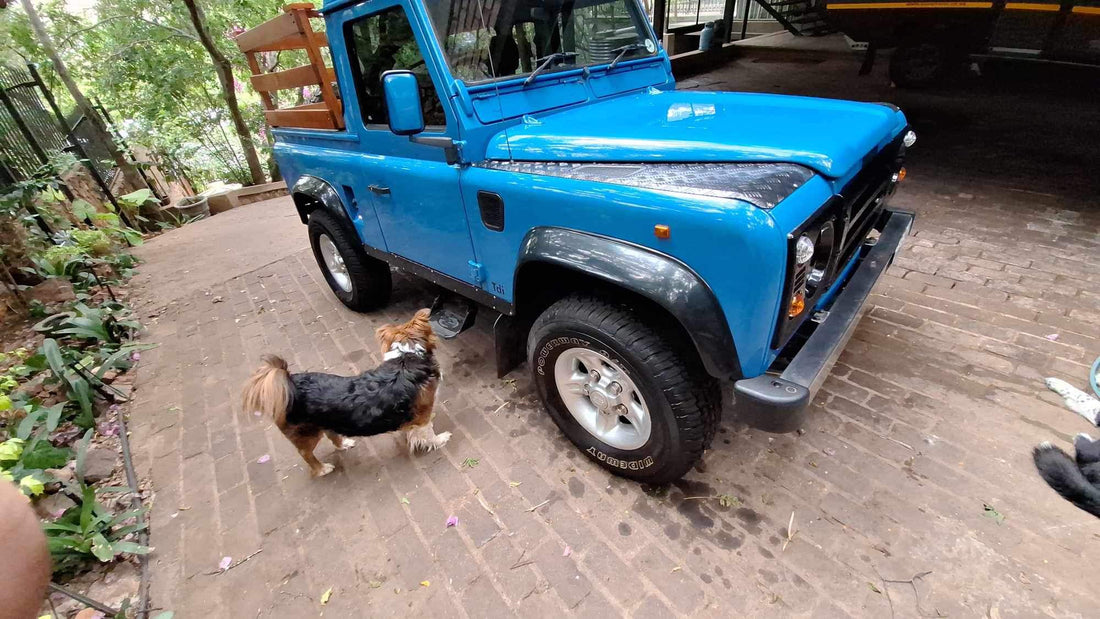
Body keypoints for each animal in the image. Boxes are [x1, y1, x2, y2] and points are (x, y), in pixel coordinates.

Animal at [238, 310, 448, 479]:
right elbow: (428, 433)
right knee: (306, 454)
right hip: (308, 434)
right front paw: (440, 439)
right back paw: (322, 469)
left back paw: (344, 443)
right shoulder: (422, 415)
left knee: (332, 435)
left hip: (326, 422)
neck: (406, 356)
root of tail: (289, 385)